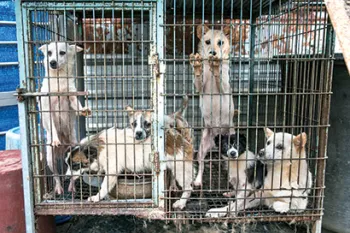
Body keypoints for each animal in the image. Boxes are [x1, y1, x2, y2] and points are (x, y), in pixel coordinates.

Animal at [38, 41, 91, 195]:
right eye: (49, 53)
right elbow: (53, 126)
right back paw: (59, 188)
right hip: (50, 159)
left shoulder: (71, 97)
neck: (58, 79)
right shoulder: (48, 108)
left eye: (62, 53)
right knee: (56, 175)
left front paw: (83, 110)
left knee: (73, 176)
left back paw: (71, 187)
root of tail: (63, 150)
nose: (52, 62)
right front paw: (56, 139)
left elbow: (77, 105)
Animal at [64, 96, 193, 209]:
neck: (99, 147)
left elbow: (104, 186)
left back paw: (181, 203)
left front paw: (96, 197)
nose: (65, 177)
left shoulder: (112, 171)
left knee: (188, 188)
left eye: (75, 165)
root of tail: (180, 136)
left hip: (181, 169)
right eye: (67, 164)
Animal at [189, 24, 235, 187]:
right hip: (202, 147)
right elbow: (198, 78)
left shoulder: (224, 89)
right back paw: (197, 180)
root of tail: (217, 138)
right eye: (207, 42)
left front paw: (217, 66)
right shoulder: (200, 87)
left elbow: (219, 76)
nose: (213, 53)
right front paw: (197, 66)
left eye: (220, 42)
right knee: (201, 165)